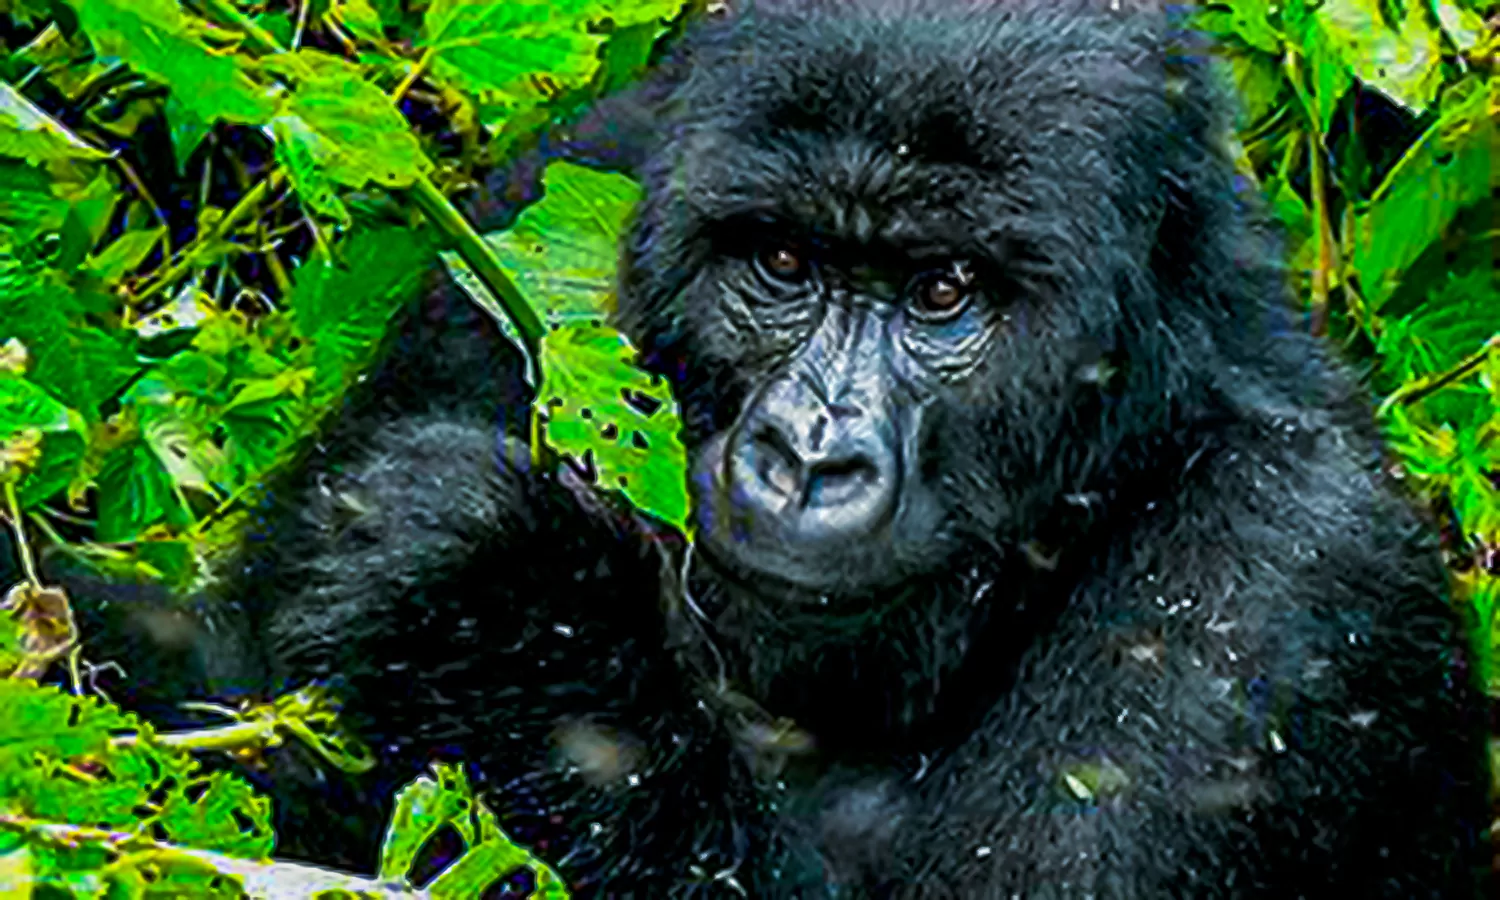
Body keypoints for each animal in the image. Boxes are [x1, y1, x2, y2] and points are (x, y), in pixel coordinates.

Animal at [29, 0, 1494, 894]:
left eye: (944, 292)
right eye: (782, 264)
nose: (806, 454)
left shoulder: (1284, 577)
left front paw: (501, 606)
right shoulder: (524, 234)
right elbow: (220, 718)